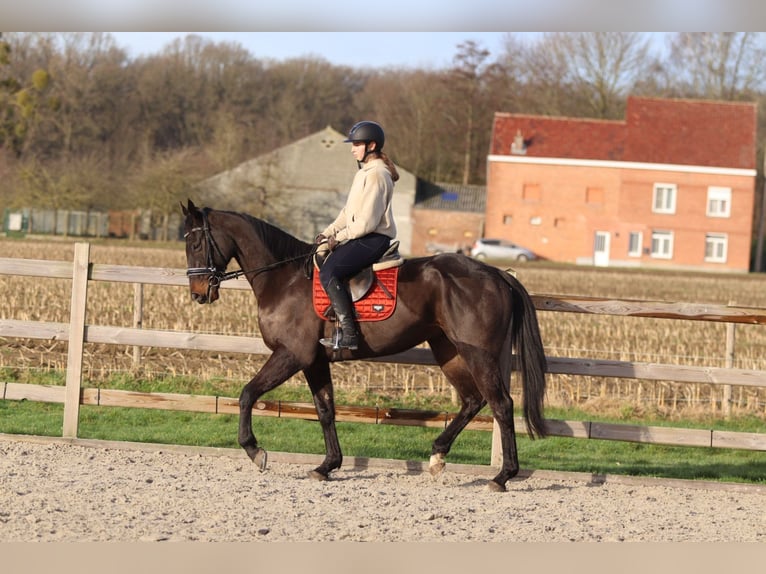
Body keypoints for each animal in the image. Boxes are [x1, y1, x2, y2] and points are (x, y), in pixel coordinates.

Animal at [181, 199, 548, 492]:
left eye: (197, 241)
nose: (198, 293)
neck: (284, 279)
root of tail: (497, 274)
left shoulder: (292, 354)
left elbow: (247, 394)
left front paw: (255, 451)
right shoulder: (315, 361)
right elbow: (325, 410)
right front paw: (327, 465)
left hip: (476, 352)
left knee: (500, 404)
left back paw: (502, 476)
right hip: (449, 350)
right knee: (473, 400)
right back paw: (438, 456)